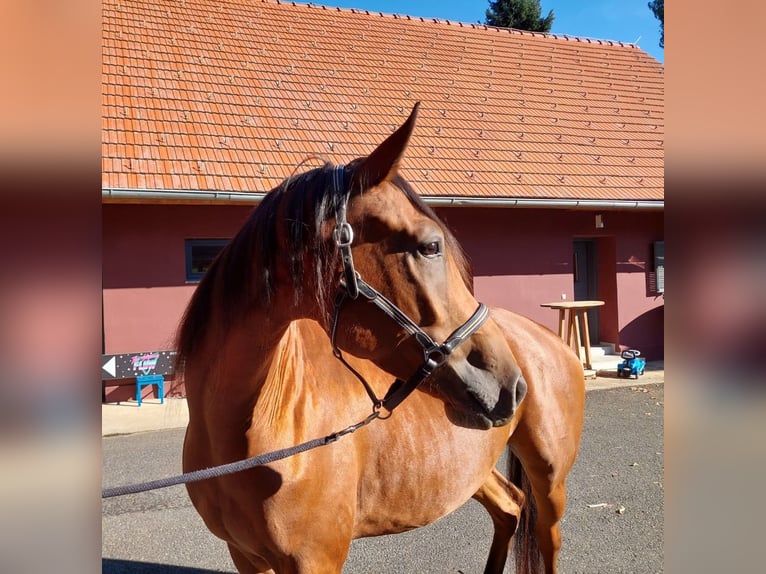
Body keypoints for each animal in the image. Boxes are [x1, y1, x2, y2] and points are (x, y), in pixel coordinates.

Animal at [177, 103, 585, 574]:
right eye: (430, 246)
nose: (511, 386)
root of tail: (548, 339)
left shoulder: (316, 561)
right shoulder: (244, 555)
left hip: (550, 482)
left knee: (546, 535)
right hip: (473, 471)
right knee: (510, 507)